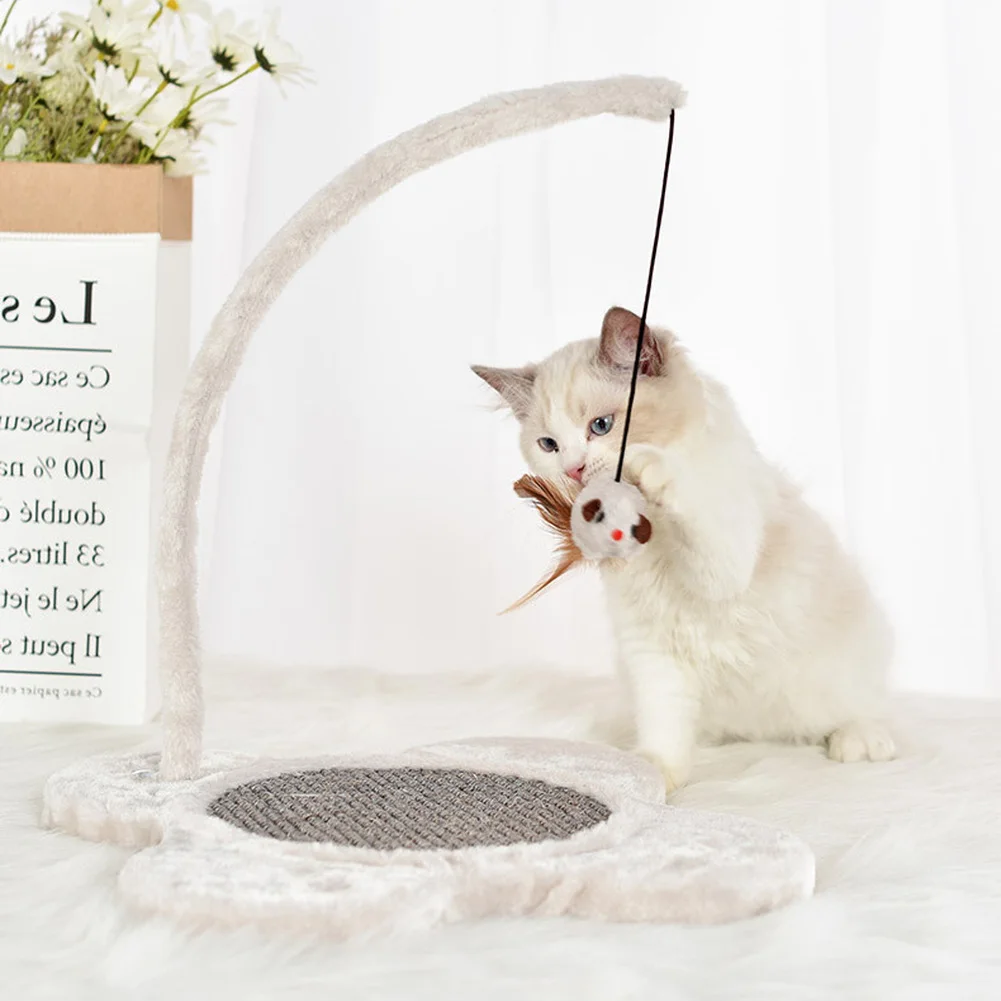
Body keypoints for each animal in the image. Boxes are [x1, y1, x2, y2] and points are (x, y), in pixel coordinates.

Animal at [473, 306, 896, 792]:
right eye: (549, 445)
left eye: (601, 426)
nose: (574, 469)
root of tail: (761, 731)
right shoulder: (650, 645)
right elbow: (663, 724)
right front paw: (652, 773)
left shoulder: (727, 556)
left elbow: (690, 506)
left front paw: (647, 467)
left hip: (856, 655)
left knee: (867, 705)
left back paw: (860, 738)